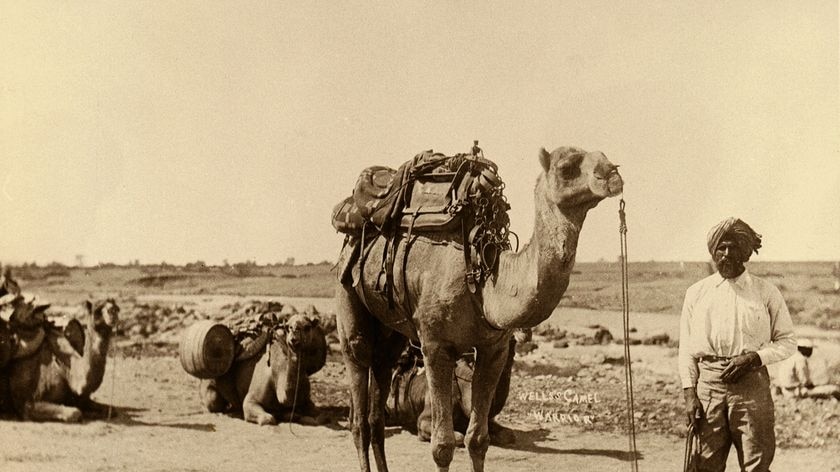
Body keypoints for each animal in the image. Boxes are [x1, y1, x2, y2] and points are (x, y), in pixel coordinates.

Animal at [202, 316, 330, 426]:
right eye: (288, 327)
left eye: (307, 327)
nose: (294, 337)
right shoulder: (252, 399)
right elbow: (267, 418)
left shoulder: (306, 399)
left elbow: (321, 416)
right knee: (214, 402)